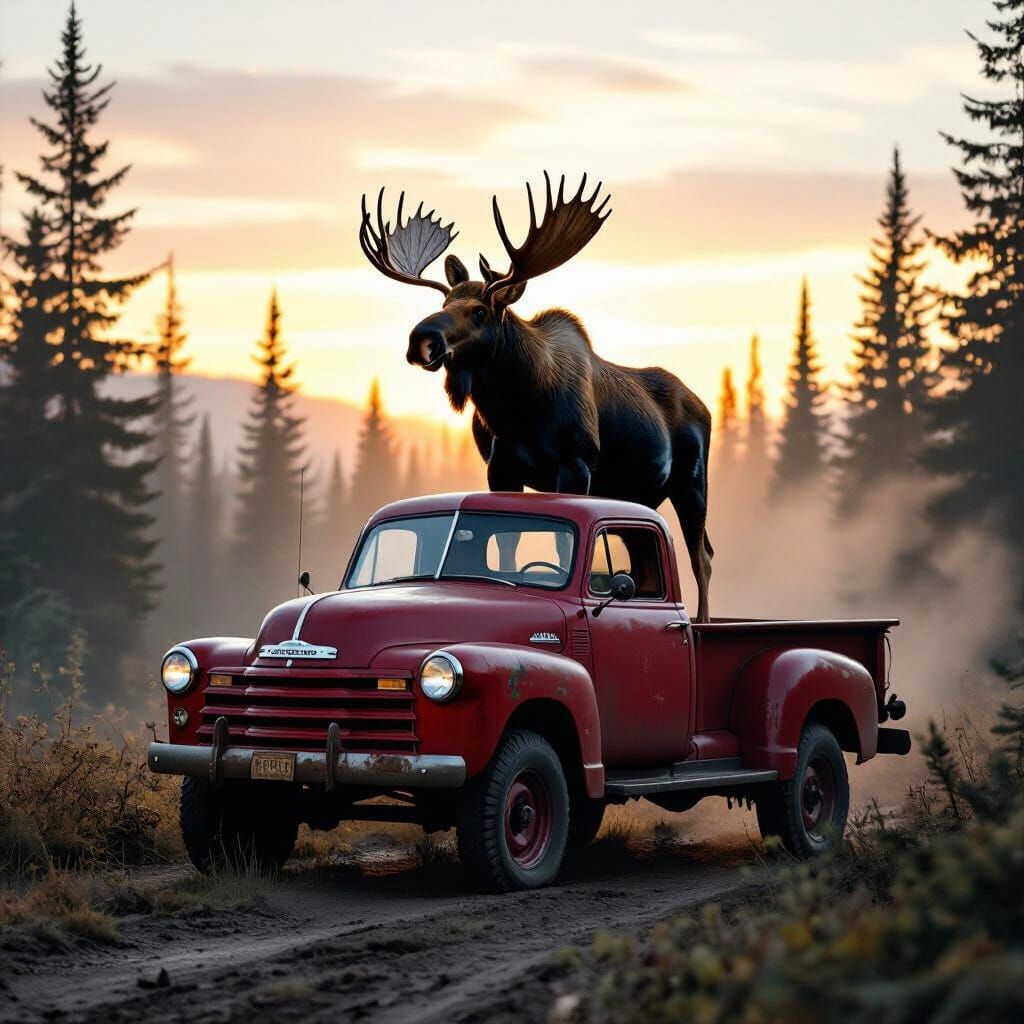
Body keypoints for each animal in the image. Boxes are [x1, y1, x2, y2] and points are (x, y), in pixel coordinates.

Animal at [357, 174, 714, 622]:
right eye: (444, 302)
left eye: (479, 311)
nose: (422, 339)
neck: (515, 407)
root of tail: (704, 406)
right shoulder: (500, 467)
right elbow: (506, 541)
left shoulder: (577, 463)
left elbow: (565, 543)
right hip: (640, 491)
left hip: (692, 483)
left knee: (702, 556)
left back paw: (701, 621)